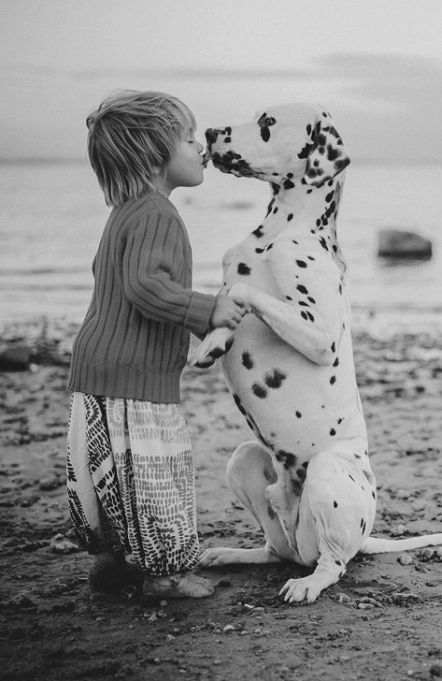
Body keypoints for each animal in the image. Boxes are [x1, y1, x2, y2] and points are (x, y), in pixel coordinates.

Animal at [192, 103, 442, 604]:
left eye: (267, 123)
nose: (209, 131)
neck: (282, 231)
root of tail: (363, 538)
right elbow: (229, 296)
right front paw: (214, 340)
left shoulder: (319, 334)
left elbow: (242, 290)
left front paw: (219, 331)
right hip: (243, 461)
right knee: (275, 550)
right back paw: (232, 553)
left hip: (328, 476)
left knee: (333, 565)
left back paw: (310, 583)